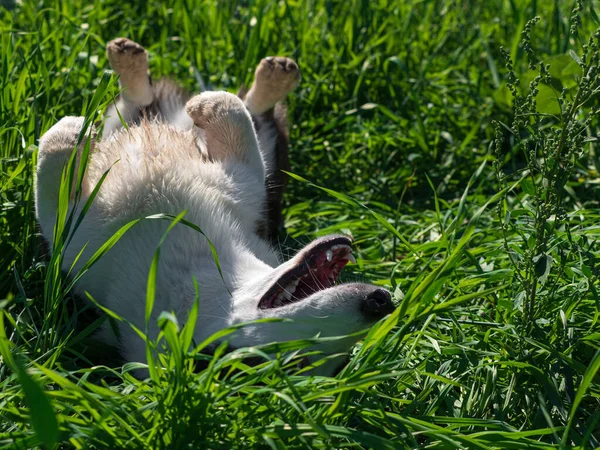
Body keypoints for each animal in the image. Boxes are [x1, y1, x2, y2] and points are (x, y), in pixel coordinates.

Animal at [35, 37, 396, 376]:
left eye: (299, 361)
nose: (381, 302)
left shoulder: (243, 182)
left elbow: (52, 169)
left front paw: (70, 132)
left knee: (256, 117)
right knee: (139, 104)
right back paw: (130, 61)